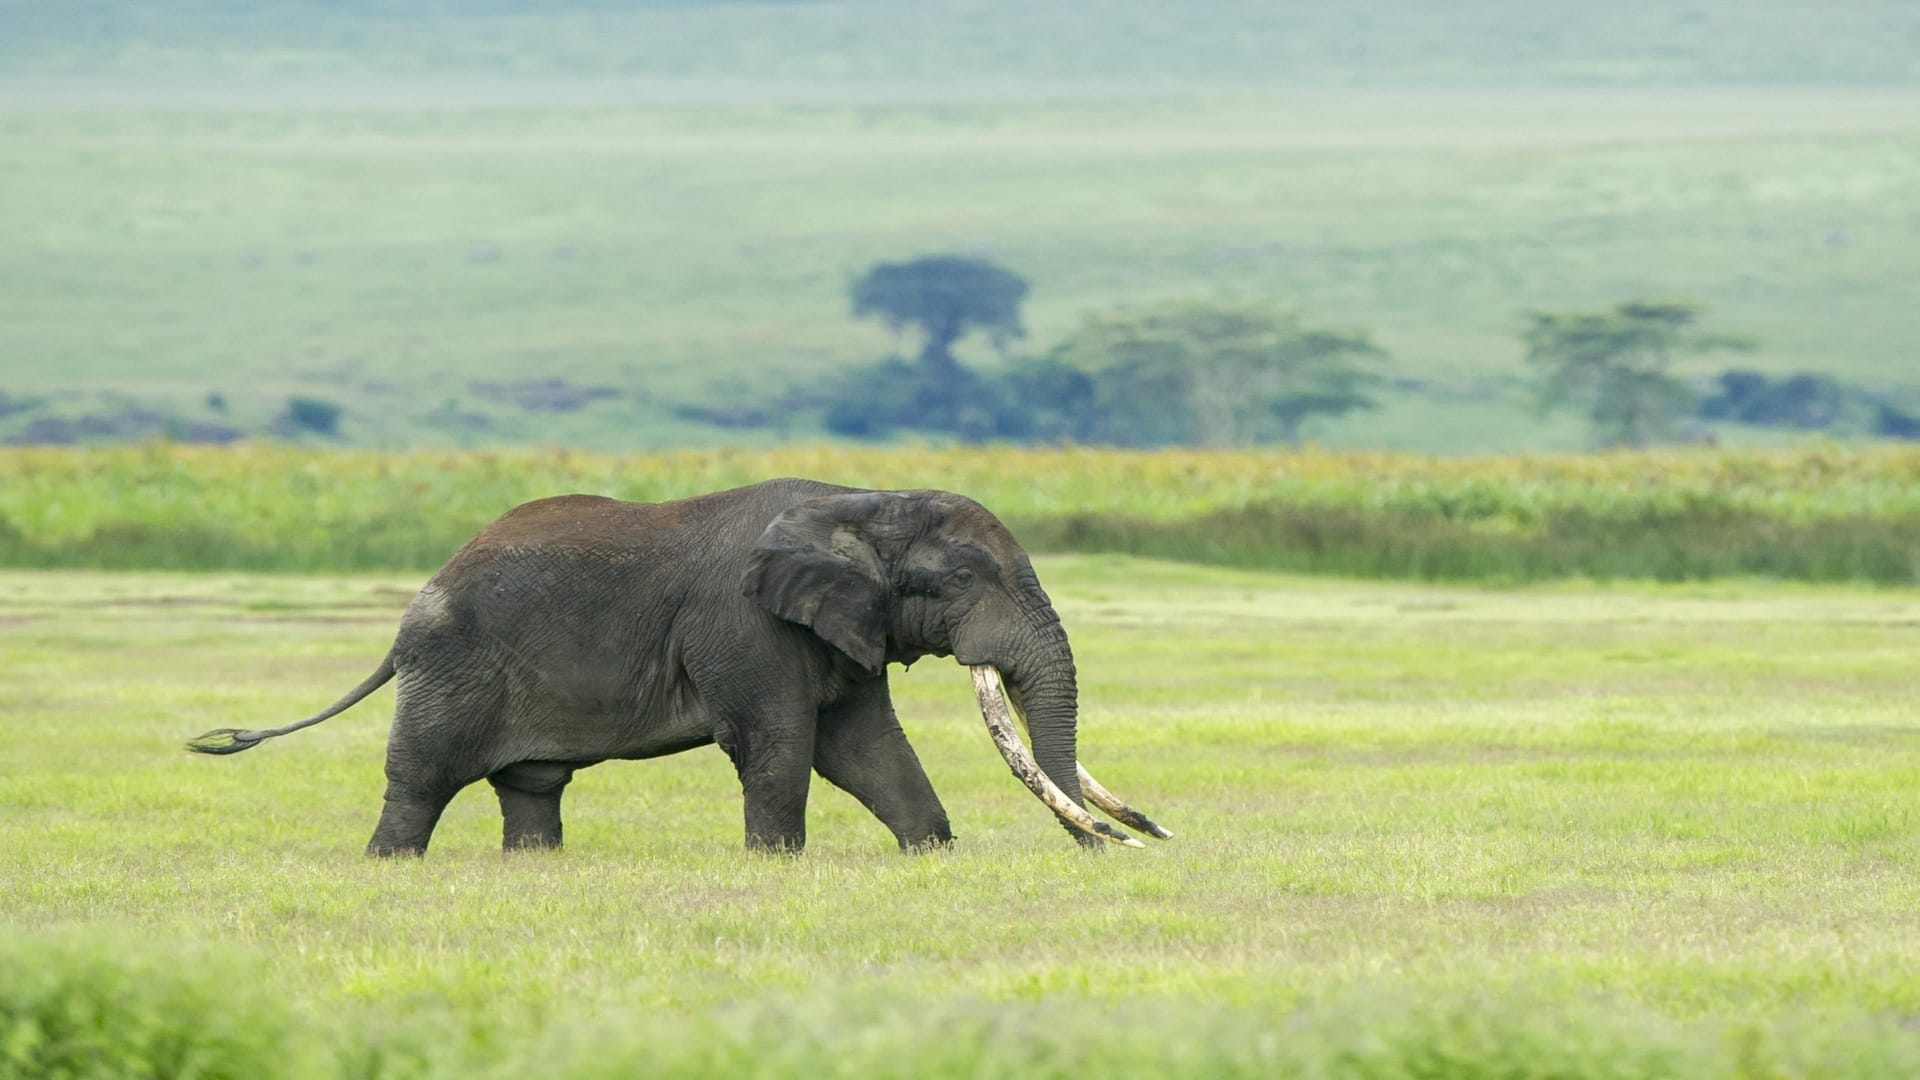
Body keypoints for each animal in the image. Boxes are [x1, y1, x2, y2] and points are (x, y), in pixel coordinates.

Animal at [187, 478, 1169, 856]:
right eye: (963, 581)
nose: (1111, 842)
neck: (860, 499)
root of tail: (406, 617)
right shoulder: (744, 625)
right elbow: (779, 743)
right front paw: (776, 866)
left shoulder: (839, 626)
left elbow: (864, 747)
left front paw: (931, 853)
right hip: (451, 666)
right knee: (421, 778)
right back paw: (391, 865)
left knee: (530, 787)